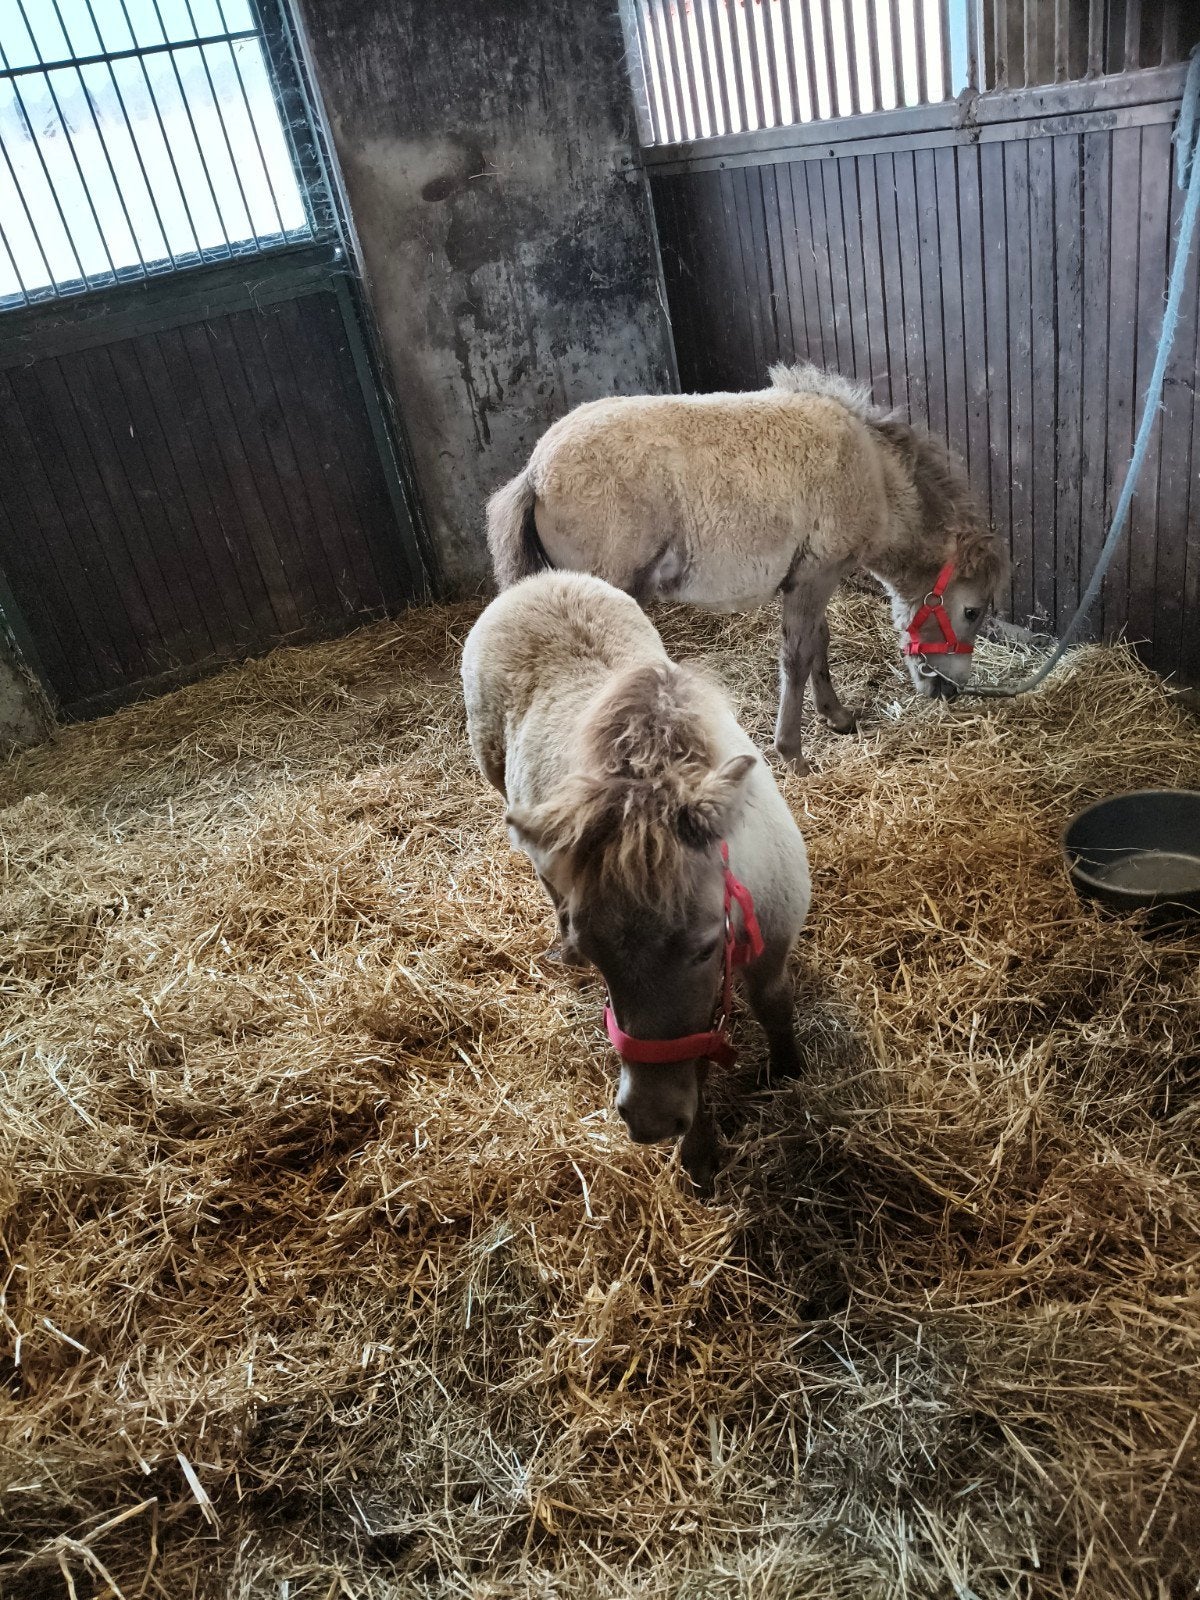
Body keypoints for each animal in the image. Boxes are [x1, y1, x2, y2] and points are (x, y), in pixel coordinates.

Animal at [461, 570, 811, 1190]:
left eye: (706, 947)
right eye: (598, 954)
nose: (647, 1119)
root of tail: (539, 580)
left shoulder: (772, 945)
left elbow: (774, 1005)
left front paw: (788, 1072)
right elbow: (695, 1060)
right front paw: (699, 1155)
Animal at [486, 363, 1008, 773]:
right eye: (971, 611)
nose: (948, 689)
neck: (876, 475)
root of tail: (535, 473)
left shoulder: (809, 578)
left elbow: (819, 642)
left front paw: (836, 716)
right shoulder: (817, 574)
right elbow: (797, 657)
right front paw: (792, 753)